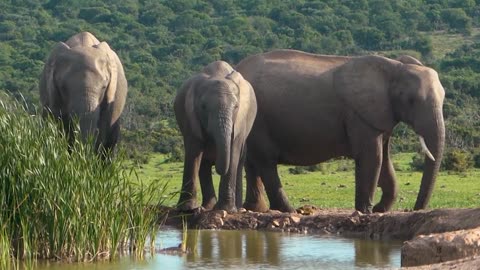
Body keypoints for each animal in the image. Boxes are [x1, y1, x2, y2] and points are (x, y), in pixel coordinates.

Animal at [175, 60, 258, 212]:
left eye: (236, 107)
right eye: (203, 107)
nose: (218, 169)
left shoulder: (240, 122)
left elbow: (233, 152)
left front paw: (226, 209)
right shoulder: (189, 117)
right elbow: (194, 150)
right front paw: (187, 209)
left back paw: (237, 209)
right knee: (203, 164)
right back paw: (208, 206)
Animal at [236, 49, 446, 214]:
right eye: (411, 100)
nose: (415, 209)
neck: (395, 68)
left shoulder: (380, 115)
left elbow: (385, 160)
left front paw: (380, 210)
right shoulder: (359, 115)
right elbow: (372, 157)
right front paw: (365, 212)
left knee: (252, 162)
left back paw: (256, 209)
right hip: (258, 119)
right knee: (266, 162)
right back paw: (288, 210)